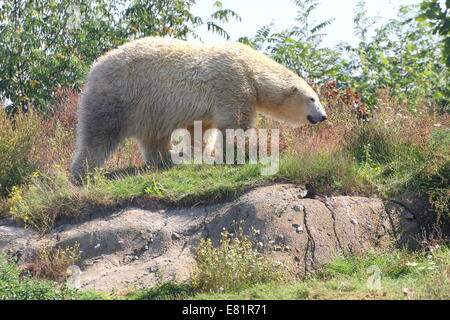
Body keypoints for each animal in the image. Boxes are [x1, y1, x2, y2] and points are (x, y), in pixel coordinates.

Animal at [72, 37, 328, 180]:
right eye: (312, 99)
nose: (323, 116)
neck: (251, 69)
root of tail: (94, 69)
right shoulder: (233, 84)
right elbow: (236, 124)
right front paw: (244, 154)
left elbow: (201, 130)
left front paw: (199, 155)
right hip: (120, 96)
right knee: (99, 134)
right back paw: (83, 172)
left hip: (149, 108)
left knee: (153, 138)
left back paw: (166, 159)